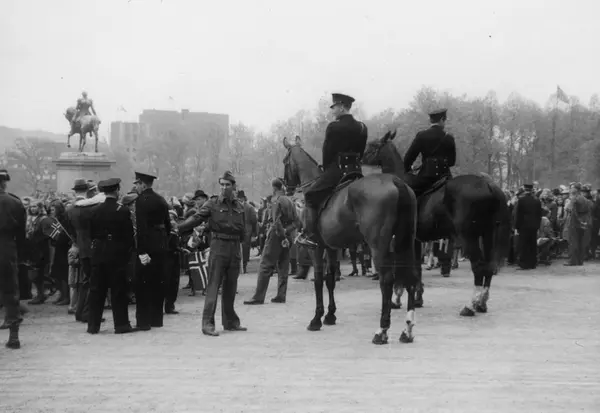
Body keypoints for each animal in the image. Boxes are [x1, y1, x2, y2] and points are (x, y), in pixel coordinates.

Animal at [282, 135, 420, 345]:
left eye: (285, 161)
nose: (286, 187)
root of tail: (397, 182)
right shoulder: (331, 248)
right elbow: (330, 279)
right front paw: (330, 315)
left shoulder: (317, 247)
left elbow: (319, 280)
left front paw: (316, 319)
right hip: (406, 242)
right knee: (410, 276)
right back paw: (407, 330)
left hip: (378, 245)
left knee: (387, 280)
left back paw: (382, 330)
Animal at [362, 131, 511, 317]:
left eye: (372, 145)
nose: (360, 157)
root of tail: (488, 184)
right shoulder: (416, 240)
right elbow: (416, 268)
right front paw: (417, 298)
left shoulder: (404, 239)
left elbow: (407, 267)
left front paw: (398, 298)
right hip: (488, 233)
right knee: (489, 266)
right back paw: (482, 303)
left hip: (469, 236)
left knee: (478, 267)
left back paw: (470, 305)